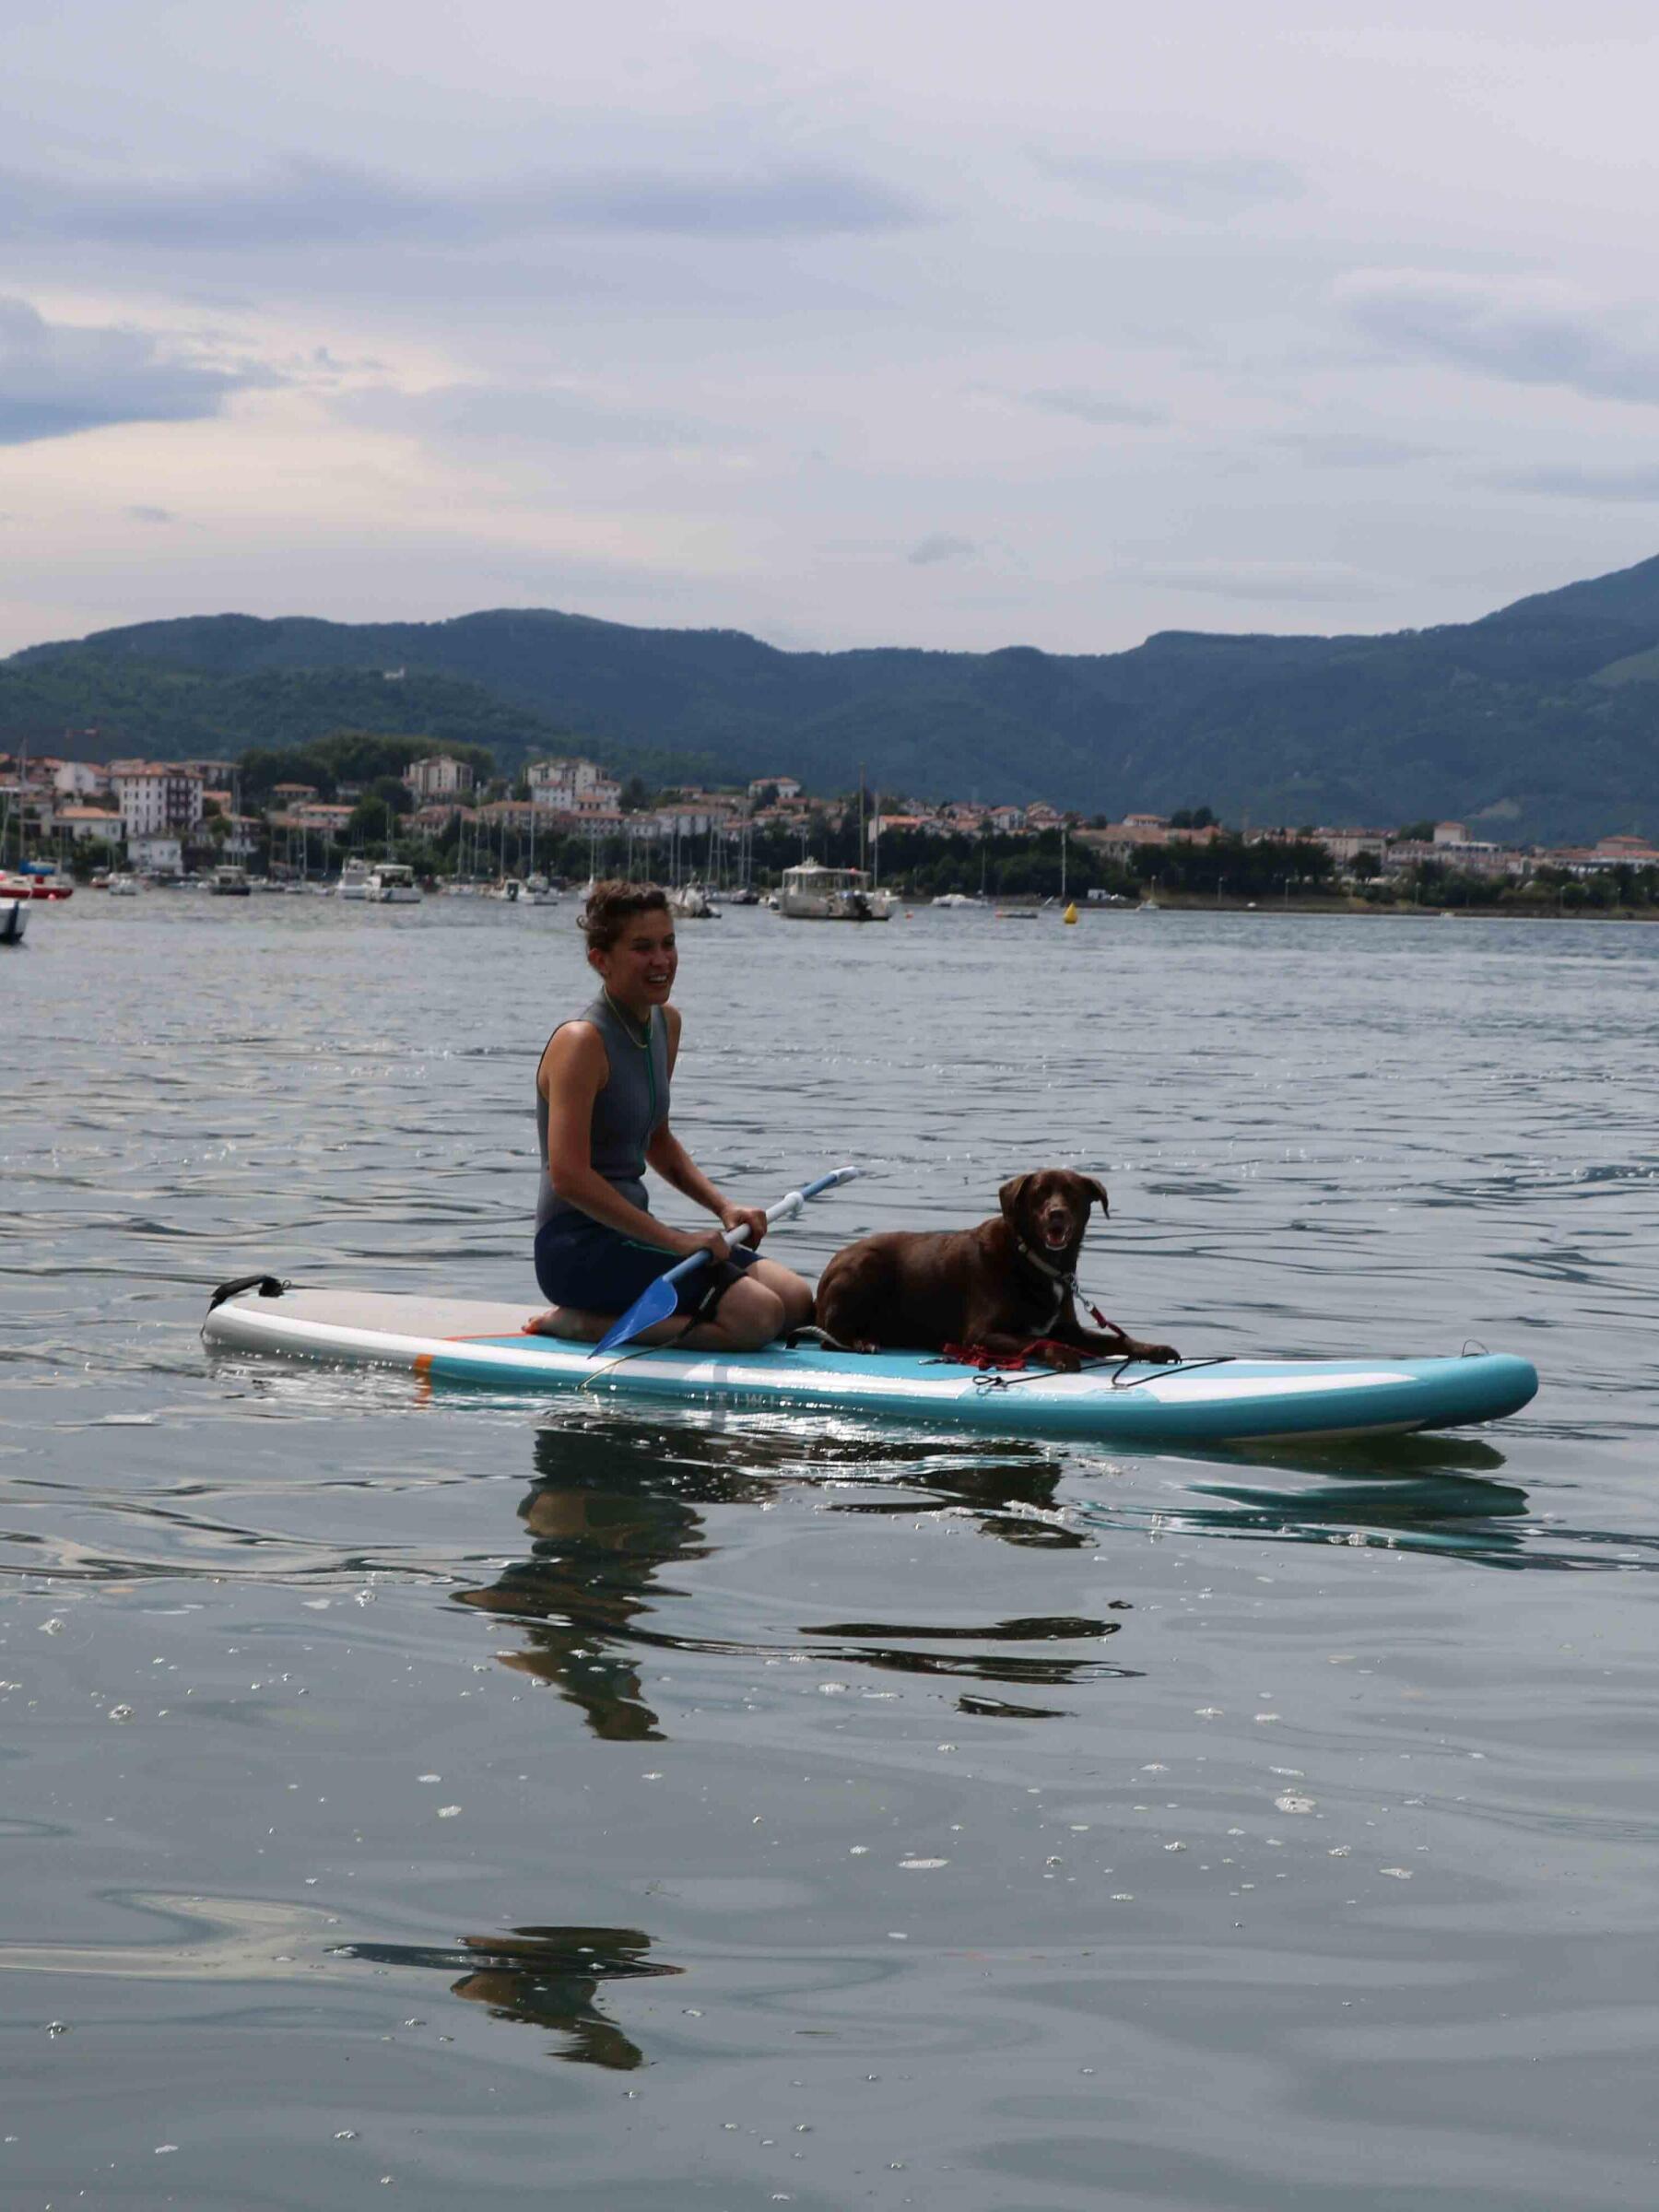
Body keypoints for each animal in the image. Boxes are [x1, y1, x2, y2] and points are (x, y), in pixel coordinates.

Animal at [814, 1168, 1185, 1371]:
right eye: (1040, 1194)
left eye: (1071, 1193)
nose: (1057, 1213)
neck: (1035, 1261)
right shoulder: (981, 1335)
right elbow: (1037, 1341)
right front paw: (1062, 1356)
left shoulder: (1071, 1330)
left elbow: (1116, 1339)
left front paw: (1153, 1349)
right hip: (863, 1267)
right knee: (829, 1335)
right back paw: (863, 1342)